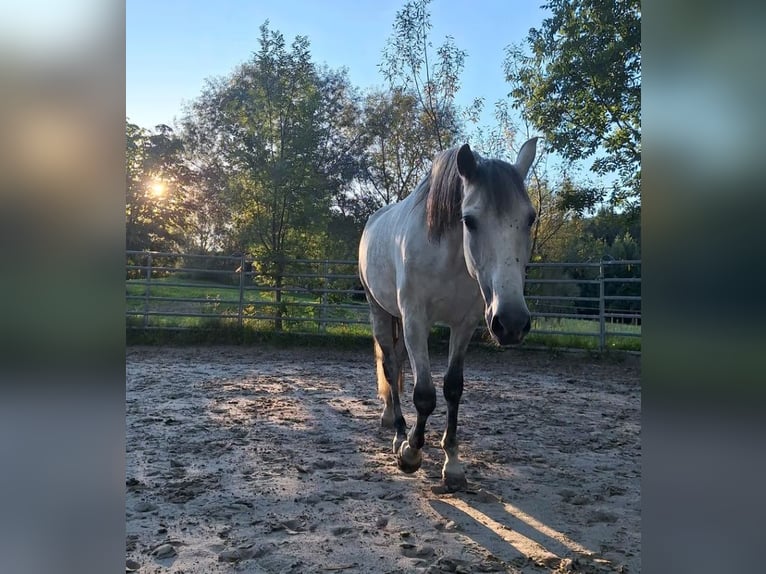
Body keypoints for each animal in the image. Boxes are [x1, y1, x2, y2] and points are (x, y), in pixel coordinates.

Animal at [358, 138, 538, 492]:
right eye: (469, 220)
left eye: (530, 218)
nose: (512, 323)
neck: (449, 257)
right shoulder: (415, 320)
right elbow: (425, 395)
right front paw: (411, 453)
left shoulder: (464, 324)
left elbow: (453, 388)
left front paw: (452, 464)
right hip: (380, 311)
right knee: (390, 367)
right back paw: (398, 432)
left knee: (398, 364)